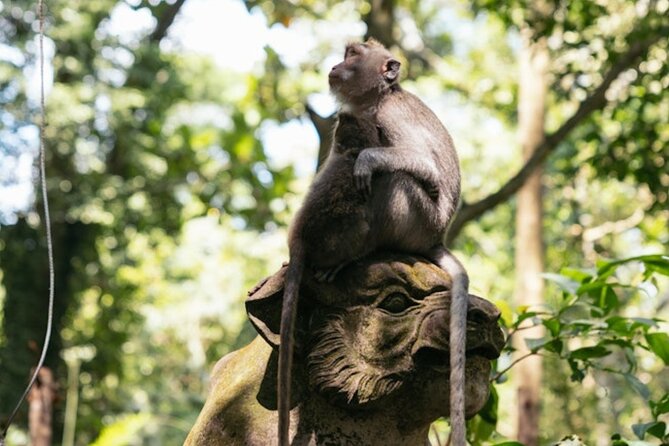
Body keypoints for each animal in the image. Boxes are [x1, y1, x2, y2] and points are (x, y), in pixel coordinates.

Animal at [279, 39, 469, 446]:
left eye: (354, 55)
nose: (336, 65)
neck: (379, 98)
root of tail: (437, 237)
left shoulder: (389, 117)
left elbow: (422, 165)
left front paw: (366, 158)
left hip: (418, 220)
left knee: (393, 178)